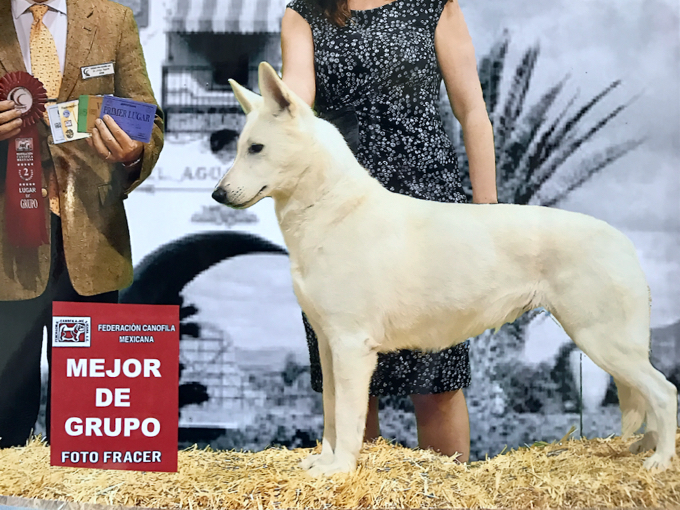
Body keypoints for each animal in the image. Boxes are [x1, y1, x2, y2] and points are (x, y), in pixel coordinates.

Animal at [211, 62, 676, 474]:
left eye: (256, 148)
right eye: (239, 147)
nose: (218, 194)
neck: (329, 208)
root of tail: (624, 243)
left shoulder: (351, 346)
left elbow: (346, 419)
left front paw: (339, 470)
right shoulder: (327, 345)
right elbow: (330, 413)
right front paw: (323, 463)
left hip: (603, 341)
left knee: (665, 392)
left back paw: (660, 461)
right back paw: (645, 449)